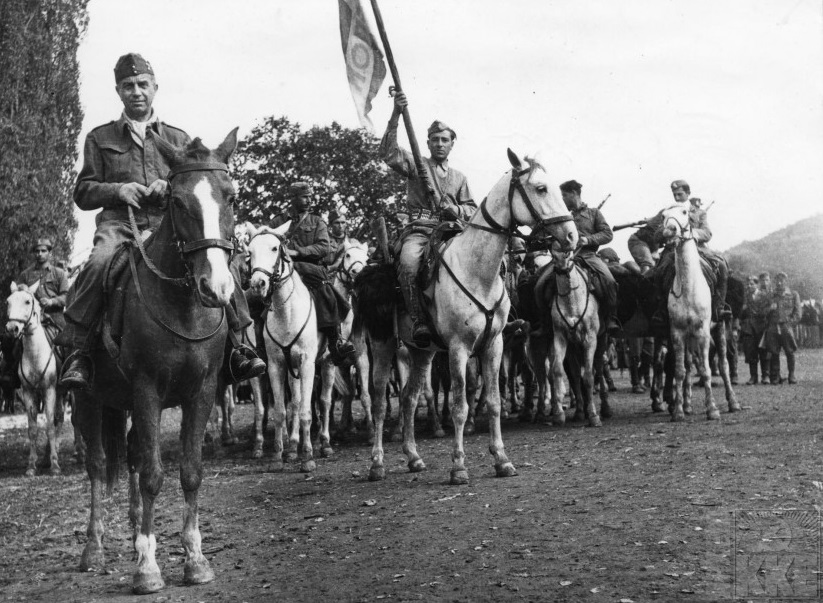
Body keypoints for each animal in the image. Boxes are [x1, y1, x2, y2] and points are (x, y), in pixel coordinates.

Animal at [5, 284, 61, 476]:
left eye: (27, 301)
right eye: (8, 301)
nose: (12, 328)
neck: (35, 354)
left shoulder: (50, 391)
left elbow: (50, 427)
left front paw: (55, 466)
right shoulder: (28, 392)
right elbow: (32, 429)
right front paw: (31, 466)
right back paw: (45, 459)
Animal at [74, 130, 240, 596]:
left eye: (231, 196)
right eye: (178, 203)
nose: (216, 288)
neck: (181, 305)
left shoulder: (201, 392)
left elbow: (190, 472)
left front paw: (195, 560)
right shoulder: (147, 391)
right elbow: (152, 474)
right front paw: (148, 570)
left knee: (128, 457)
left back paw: (134, 538)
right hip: (88, 403)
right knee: (98, 467)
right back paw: (94, 549)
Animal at [245, 222, 322, 472]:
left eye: (274, 247)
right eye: (249, 251)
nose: (258, 284)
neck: (286, 312)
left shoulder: (307, 365)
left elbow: (306, 411)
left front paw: (308, 458)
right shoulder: (275, 366)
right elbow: (279, 411)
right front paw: (278, 455)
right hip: (290, 369)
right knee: (293, 404)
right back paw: (291, 448)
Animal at [360, 151, 580, 486]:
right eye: (541, 188)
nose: (571, 236)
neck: (476, 270)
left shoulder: (494, 346)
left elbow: (494, 402)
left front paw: (502, 460)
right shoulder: (458, 348)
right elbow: (460, 406)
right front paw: (459, 466)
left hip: (421, 352)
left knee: (409, 398)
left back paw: (413, 458)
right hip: (383, 343)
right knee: (380, 402)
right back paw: (376, 463)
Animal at [664, 205, 740, 422]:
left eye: (684, 212)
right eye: (663, 215)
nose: (669, 230)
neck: (689, 287)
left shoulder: (703, 332)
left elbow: (706, 370)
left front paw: (712, 409)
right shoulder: (677, 333)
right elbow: (680, 371)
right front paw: (679, 411)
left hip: (719, 328)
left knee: (723, 364)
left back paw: (733, 402)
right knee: (689, 366)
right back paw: (688, 405)